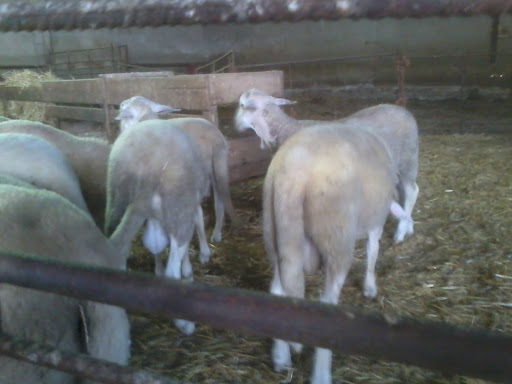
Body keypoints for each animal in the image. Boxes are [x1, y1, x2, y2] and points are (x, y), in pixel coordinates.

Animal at [104, 118, 210, 334]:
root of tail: (146, 166)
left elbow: (156, 246)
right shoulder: (190, 207)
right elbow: (198, 223)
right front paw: (195, 264)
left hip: (116, 202)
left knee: (118, 252)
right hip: (178, 203)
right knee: (172, 271)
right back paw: (185, 323)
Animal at [236, 88, 420, 243]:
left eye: (243, 105)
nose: (236, 125)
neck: (286, 130)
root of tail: (403, 111)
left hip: (408, 158)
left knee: (412, 190)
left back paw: (401, 232)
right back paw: (408, 226)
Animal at [264, 122, 408, 384]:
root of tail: (293, 173)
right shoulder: (376, 221)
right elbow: (373, 250)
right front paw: (370, 287)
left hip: (276, 235)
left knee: (278, 291)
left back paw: (281, 358)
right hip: (337, 239)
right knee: (327, 305)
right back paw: (321, 374)